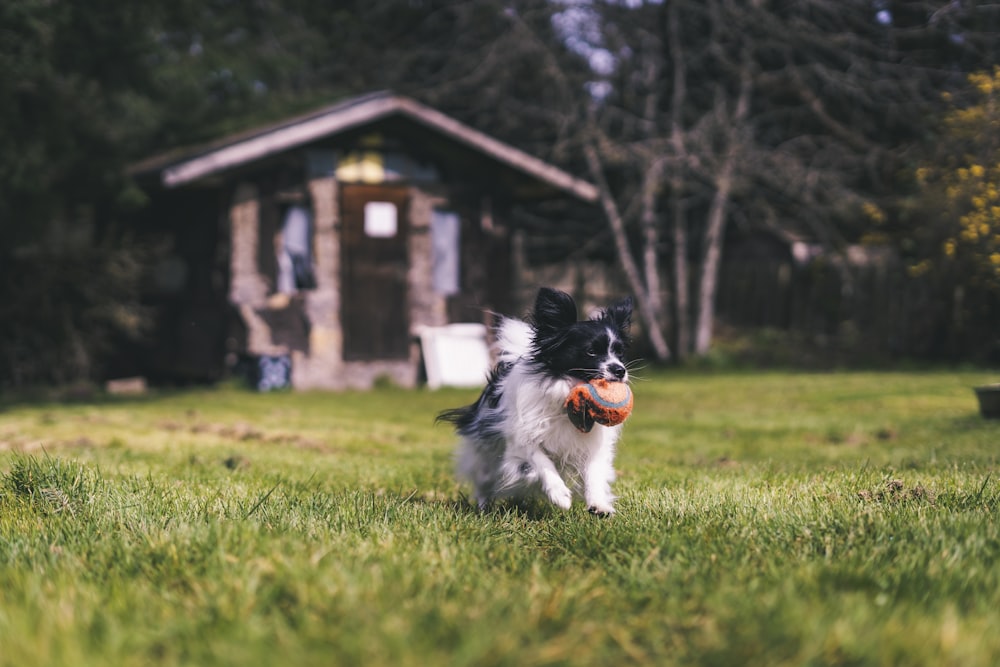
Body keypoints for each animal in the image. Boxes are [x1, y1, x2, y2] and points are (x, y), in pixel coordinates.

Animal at [438, 288, 632, 516]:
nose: (620, 370)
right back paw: (484, 509)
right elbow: (541, 461)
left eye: (620, 353)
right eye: (591, 351)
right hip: (485, 458)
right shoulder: (522, 438)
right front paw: (559, 494)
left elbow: (593, 473)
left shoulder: (593, 446)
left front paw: (598, 504)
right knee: (484, 484)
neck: (565, 397)